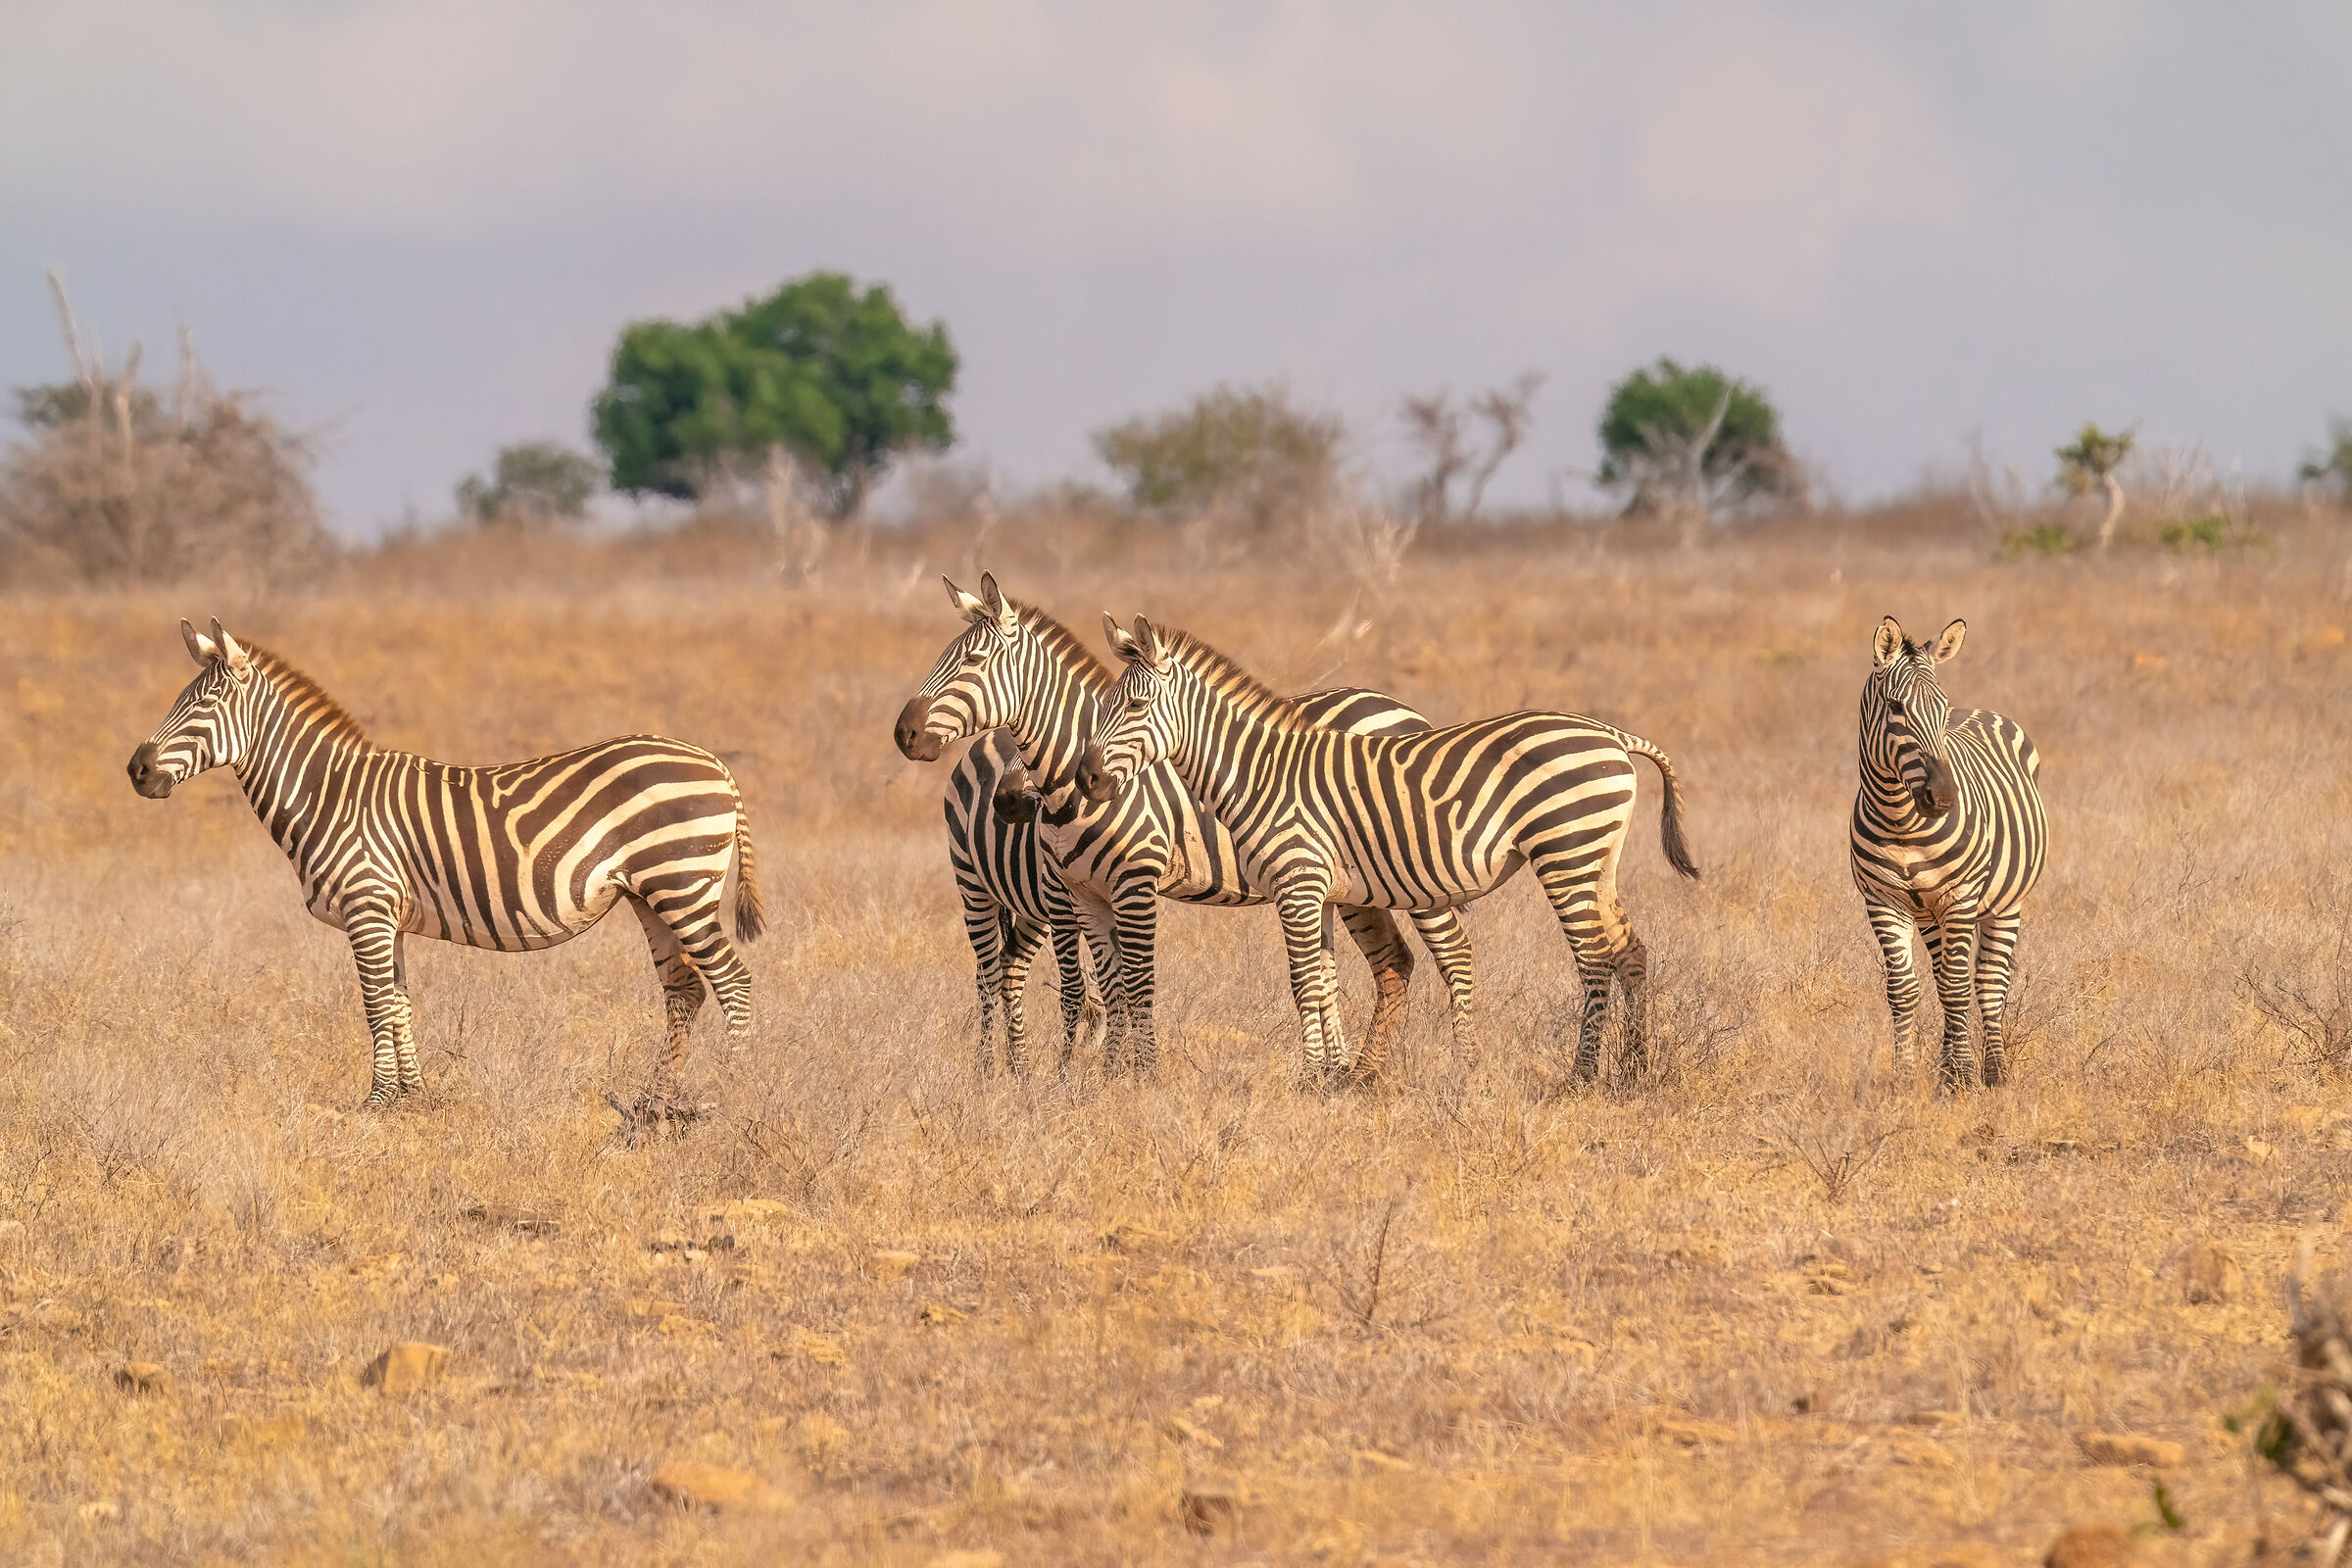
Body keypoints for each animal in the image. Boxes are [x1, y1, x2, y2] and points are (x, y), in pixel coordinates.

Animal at [127, 618, 764, 1114]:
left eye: (204, 704)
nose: (137, 770)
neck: (328, 794)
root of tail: (713, 761)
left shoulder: (366, 906)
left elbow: (375, 1006)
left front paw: (377, 1103)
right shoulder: (386, 916)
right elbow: (399, 1002)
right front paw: (414, 1097)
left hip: (681, 885)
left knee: (732, 981)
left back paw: (736, 1093)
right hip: (651, 895)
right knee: (685, 989)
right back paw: (656, 1101)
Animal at [893, 574, 1477, 1080]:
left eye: (972, 661)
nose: (905, 734)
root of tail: (1405, 710)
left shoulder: (1128, 885)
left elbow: (1128, 983)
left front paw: (1128, 1075)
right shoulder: (1081, 890)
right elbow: (1110, 985)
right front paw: (1109, 1077)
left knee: (1451, 955)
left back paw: (1458, 1067)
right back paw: (1355, 1074)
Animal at [1074, 614, 1699, 1083]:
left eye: (1133, 707)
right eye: (1102, 705)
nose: (1087, 779)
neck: (1261, 772)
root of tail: (1611, 734)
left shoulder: (1298, 882)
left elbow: (1303, 982)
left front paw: (1312, 1081)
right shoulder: (1312, 888)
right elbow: (1322, 979)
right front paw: (1330, 1077)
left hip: (1565, 854)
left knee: (1594, 960)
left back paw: (1582, 1077)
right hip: (1598, 861)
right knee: (1630, 950)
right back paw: (1636, 1068)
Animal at [1850, 616, 2046, 1088]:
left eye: (1941, 709)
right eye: (1895, 706)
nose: (1942, 797)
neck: (1900, 820)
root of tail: (1982, 710)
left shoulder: (1960, 897)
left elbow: (1957, 988)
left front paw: (1961, 1077)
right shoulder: (1883, 901)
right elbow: (1905, 990)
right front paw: (1906, 1077)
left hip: (2003, 903)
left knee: (1987, 984)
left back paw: (1994, 1071)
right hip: (1928, 913)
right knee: (1943, 976)